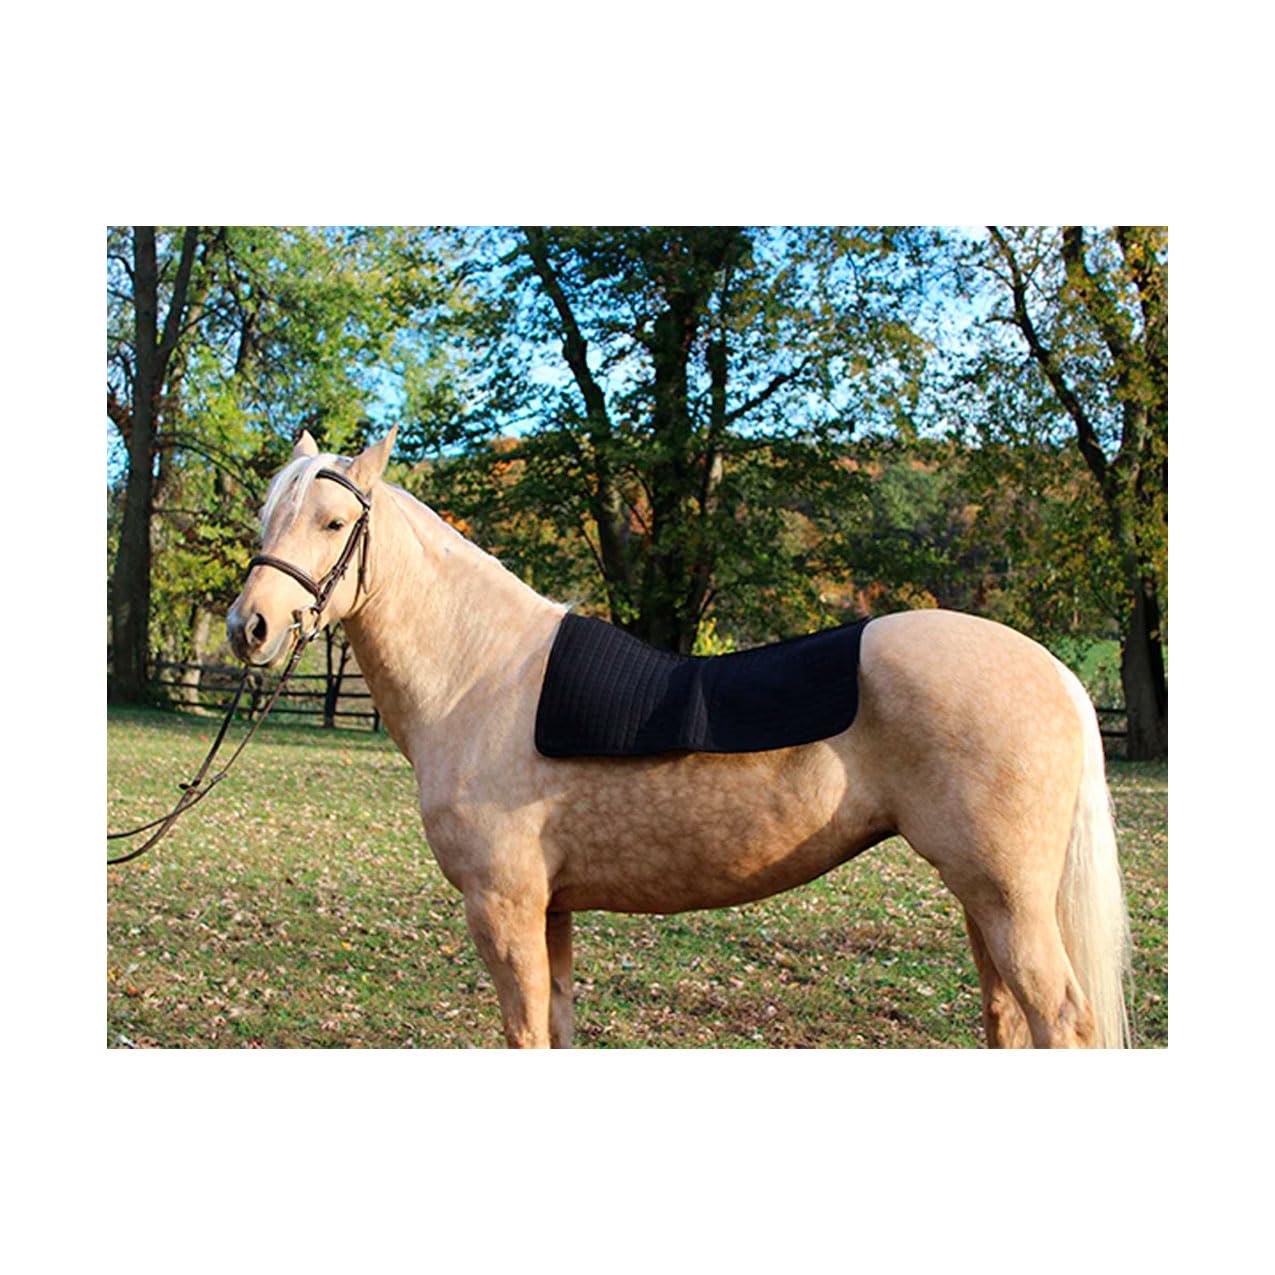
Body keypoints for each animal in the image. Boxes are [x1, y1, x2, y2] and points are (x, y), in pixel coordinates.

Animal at [226, 428, 1131, 1048]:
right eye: (266, 517)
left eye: (333, 521)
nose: (250, 627)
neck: (480, 674)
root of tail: (1054, 669)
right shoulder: (550, 909)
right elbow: (557, 1029)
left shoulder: (503, 905)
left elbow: (525, 1032)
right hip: (982, 898)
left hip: (1006, 896)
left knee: (1060, 1018)